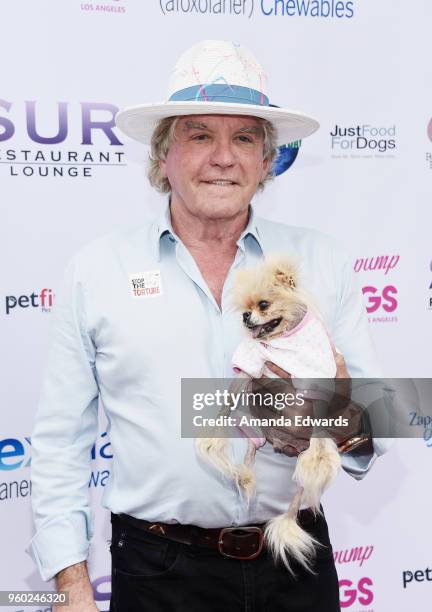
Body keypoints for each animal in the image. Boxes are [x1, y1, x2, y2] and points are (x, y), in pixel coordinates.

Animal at [196, 253, 340, 572]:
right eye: (246, 308)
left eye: (263, 305)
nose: (245, 317)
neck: (284, 338)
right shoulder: (251, 363)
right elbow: (229, 398)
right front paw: (212, 437)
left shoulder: (317, 376)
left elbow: (320, 422)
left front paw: (319, 457)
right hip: (252, 429)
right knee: (250, 455)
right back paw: (243, 474)